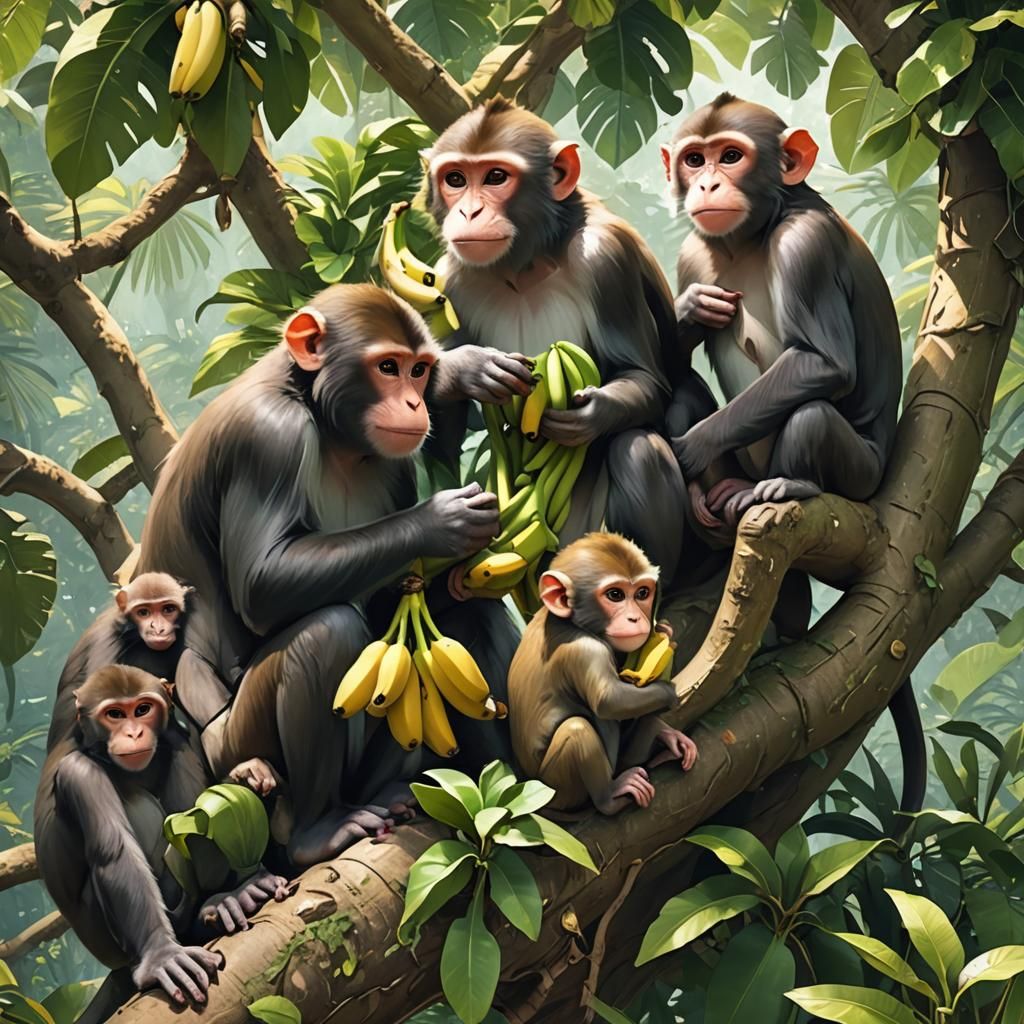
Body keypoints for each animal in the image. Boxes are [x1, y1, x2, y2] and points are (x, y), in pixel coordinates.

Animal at [129, 283, 520, 867]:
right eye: (388, 367)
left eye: (419, 371)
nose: (414, 402)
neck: (326, 424)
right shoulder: (267, 436)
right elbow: (263, 583)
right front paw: (440, 522)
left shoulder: (391, 465)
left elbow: (393, 602)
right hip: (241, 753)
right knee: (326, 633)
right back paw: (317, 833)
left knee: (460, 622)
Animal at [420, 99, 692, 584]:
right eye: (455, 179)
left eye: (495, 176)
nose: (468, 213)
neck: (527, 267)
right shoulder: (449, 280)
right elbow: (440, 450)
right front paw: (466, 370)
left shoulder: (607, 258)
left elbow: (645, 377)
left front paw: (587, 415)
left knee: (639, 450)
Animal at [508, 533, 697, 815]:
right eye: (615, 595)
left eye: (642, 593)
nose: (635, 618)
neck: (568, 621)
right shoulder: (585, 650)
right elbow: (610, 700)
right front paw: (669, 695)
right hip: (559, 790)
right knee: (578, 728)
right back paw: (609, 796)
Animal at [659, 93, 902, 530]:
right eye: (694, 160)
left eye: (731, 156)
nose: (707, 183)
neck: (753, 235)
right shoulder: (692, 256)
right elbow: (668, 365)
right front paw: (692, 307)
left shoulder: (805, 245)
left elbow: (825, 362)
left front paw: (690, 448)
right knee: (686, 390)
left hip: (861, 475)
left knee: (813, 415)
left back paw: (793, 481)